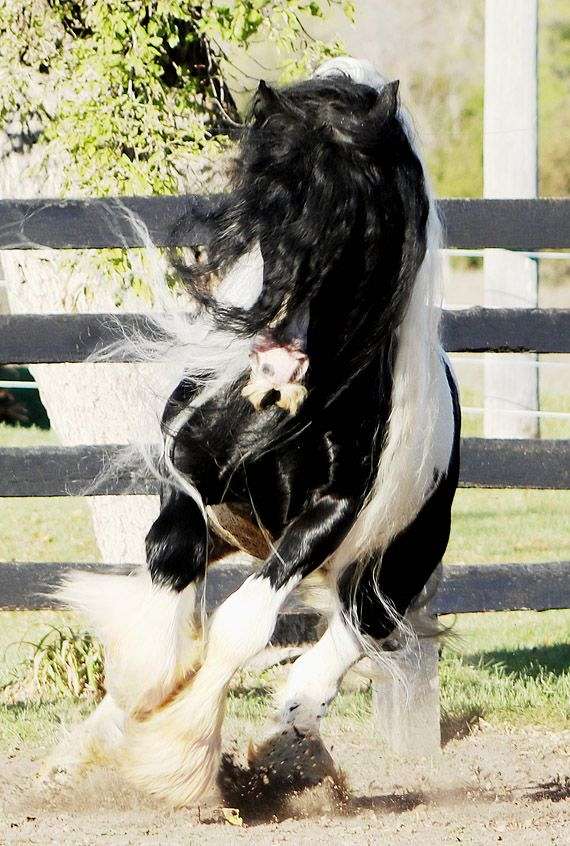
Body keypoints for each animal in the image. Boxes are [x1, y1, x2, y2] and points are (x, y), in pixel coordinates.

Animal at [52, 56, 458, 812]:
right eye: (263, 202)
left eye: (359, 220)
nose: (277, 358)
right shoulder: (190, 478)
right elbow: (166, 585)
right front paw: (135, 717)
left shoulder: (330, 515)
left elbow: (244, 623)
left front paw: (179, 759)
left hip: (396, 563)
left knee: (356, 631)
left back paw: (296, 725)